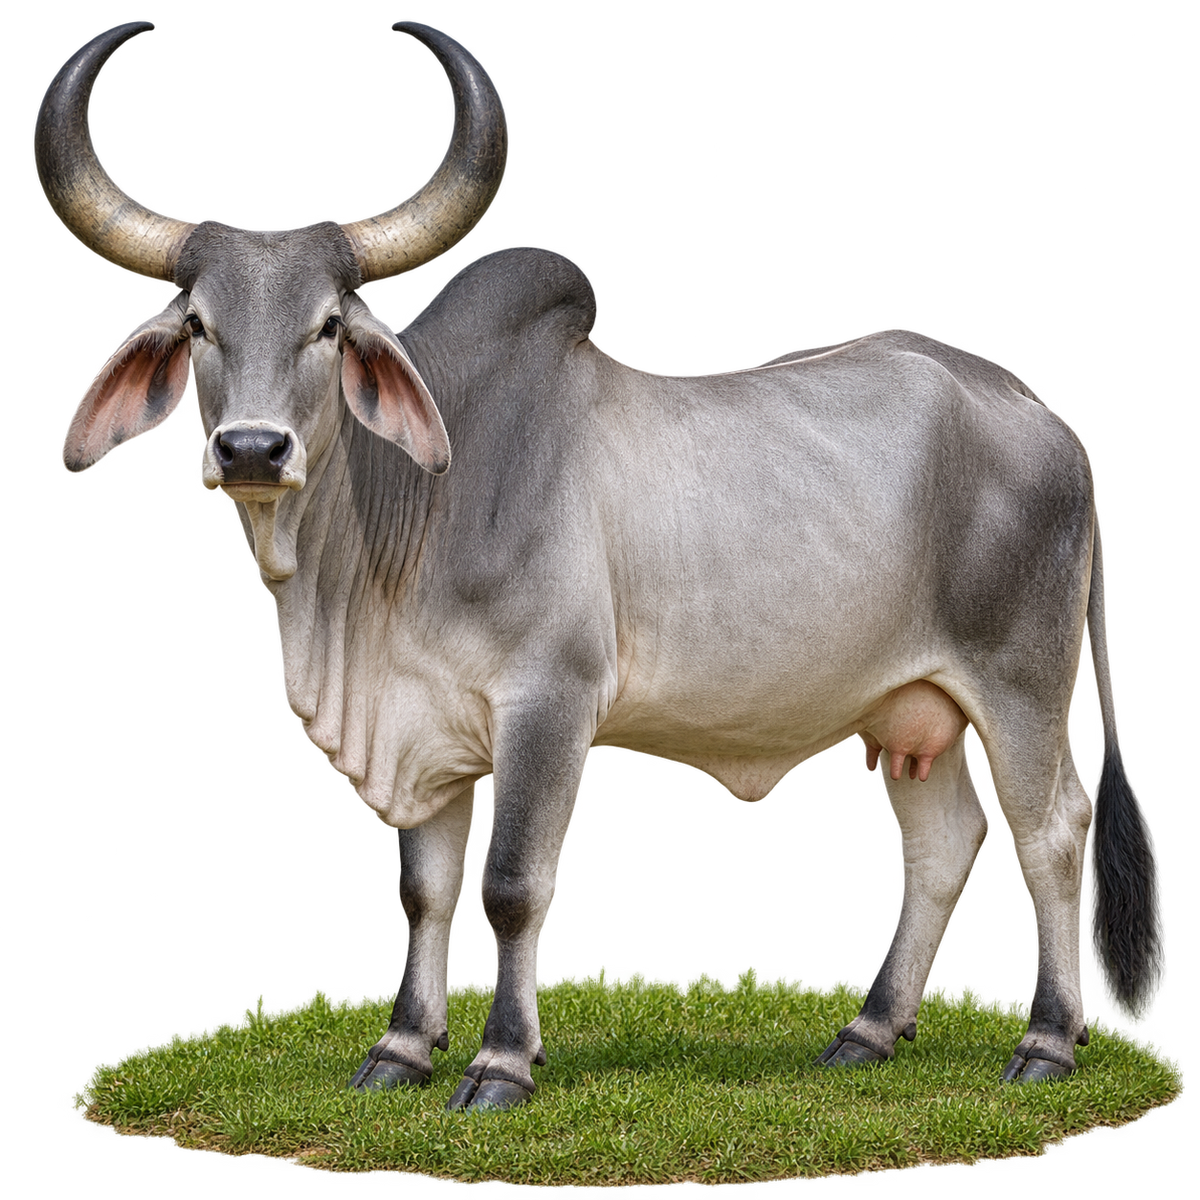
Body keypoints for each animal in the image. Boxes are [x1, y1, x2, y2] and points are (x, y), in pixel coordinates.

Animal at [35, 20, 1166, 1111]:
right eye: (197, 325)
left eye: (328, 327)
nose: (252, 451)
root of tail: (1047, 420)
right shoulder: (425, 722)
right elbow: (424, 891)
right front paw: (400, 1051)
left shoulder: (549, 701)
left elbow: (511, 887)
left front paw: (499, 1066)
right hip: (905, 709)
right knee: (939, 846)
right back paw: (868, 1034)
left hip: (1018, 685)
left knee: (1050, 831)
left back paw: (1048, 1043)